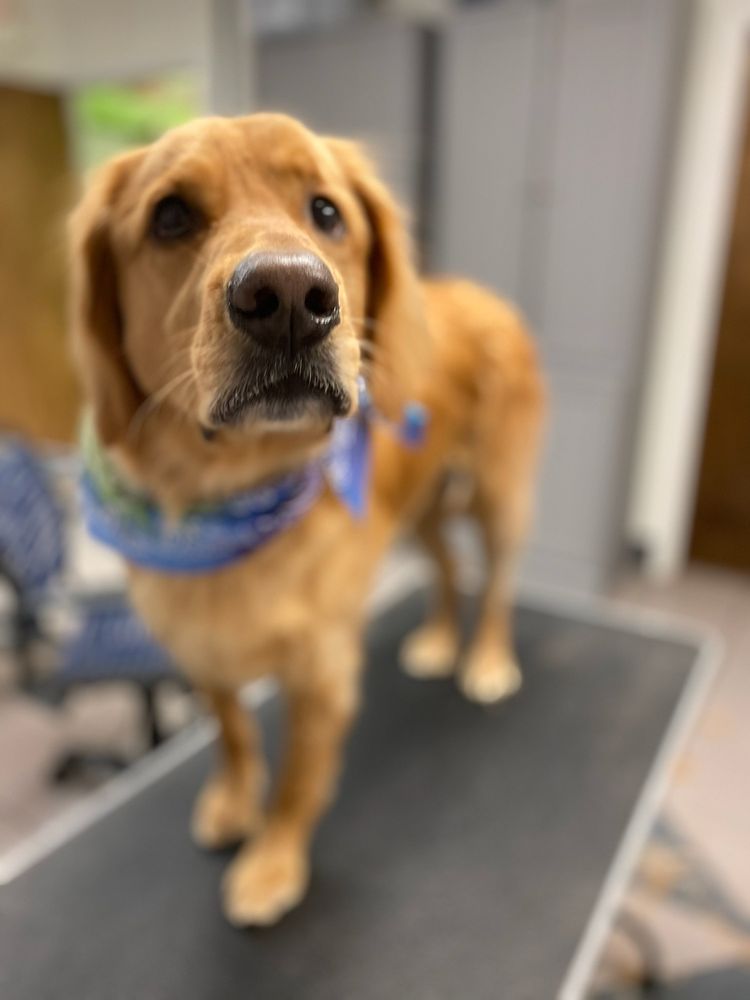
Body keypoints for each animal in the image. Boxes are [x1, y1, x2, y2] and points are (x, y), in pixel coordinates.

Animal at [70, 113, 545, 927]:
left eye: (327, 211)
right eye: (170, 216)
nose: (290, 294)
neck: (229, 499)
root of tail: (486, 296)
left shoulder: (322, 676)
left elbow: (296, 783)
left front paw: (272, 864)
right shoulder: (200, 653)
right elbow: (232, 735)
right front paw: (234, 804)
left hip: (499, 497)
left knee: (500, 583)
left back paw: (484, 659)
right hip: (417, 513)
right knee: (450, 567)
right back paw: (439, 639)